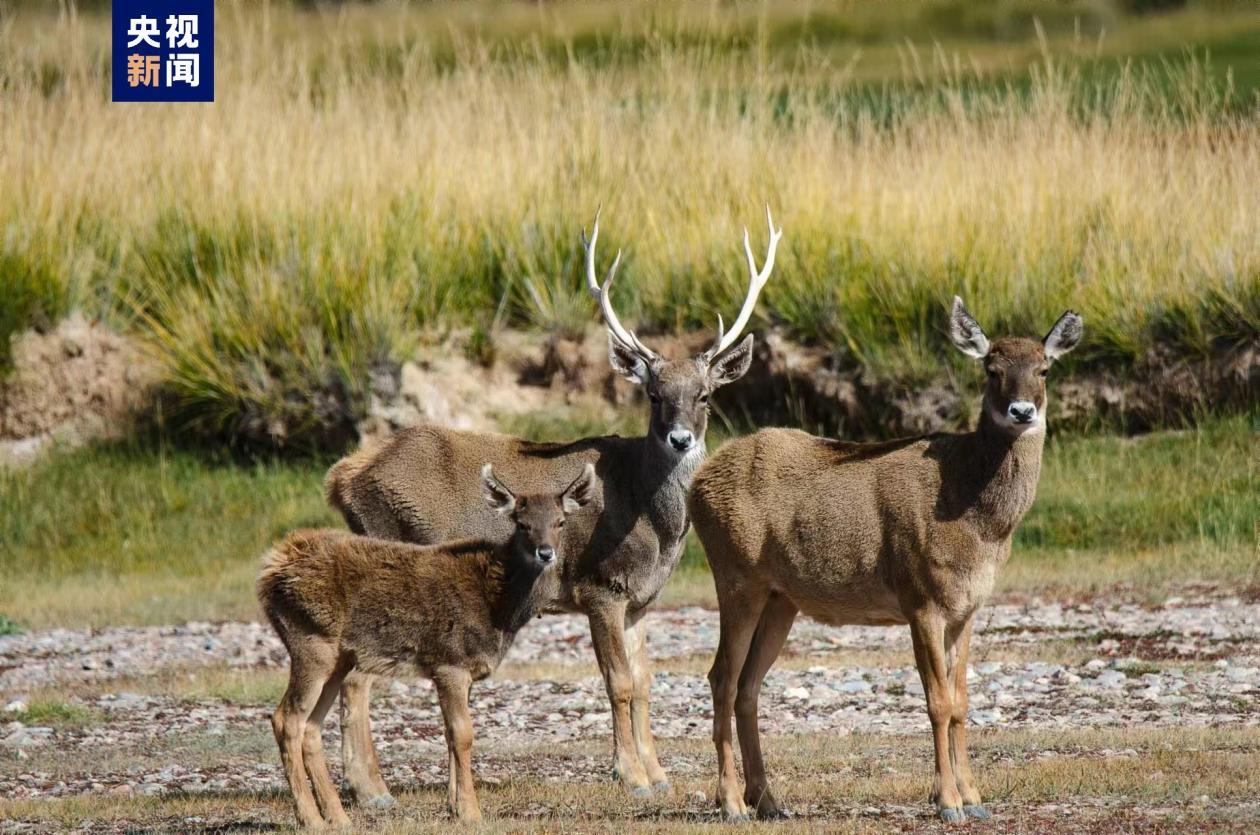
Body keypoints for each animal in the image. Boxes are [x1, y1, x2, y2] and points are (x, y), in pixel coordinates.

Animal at [258, 463, 597, 831]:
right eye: (522, 523)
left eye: (560, 521)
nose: (546, 553)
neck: (500, 609)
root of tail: (269, 572)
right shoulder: (451, 661)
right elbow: (463, 734)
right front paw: (471, 812)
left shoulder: (461, 669)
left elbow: (449, 735)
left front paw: (453, 808)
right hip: (310, 640)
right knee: (286, 719)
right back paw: (311, 819)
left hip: (338, 657)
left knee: (311, 727)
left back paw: (338, 817)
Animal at [322, 209, 776, 806]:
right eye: (654, 395)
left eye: (704, 395)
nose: (680, 439)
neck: (651, 521)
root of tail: (344, 478)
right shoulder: (599, 586)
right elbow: (618, 681)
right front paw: (630, 776)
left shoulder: (641, 600)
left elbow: (646, 680)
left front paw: (659, 774)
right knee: (358, 675)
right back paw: (371, 789)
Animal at [690, 298, 1083, 821]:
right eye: (991, 369)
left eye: (1044, 368)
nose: (1022, 410)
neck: (975, 519)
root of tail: (697, 483)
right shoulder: (920, 596)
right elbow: (937, 702)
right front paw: (947, 801)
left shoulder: (967, 608)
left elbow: (961, 700)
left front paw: (975, 797)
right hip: (736, 576)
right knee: (721, 678)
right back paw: (731, 802)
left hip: (780, 598)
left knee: (749, 685)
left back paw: (768, 800)